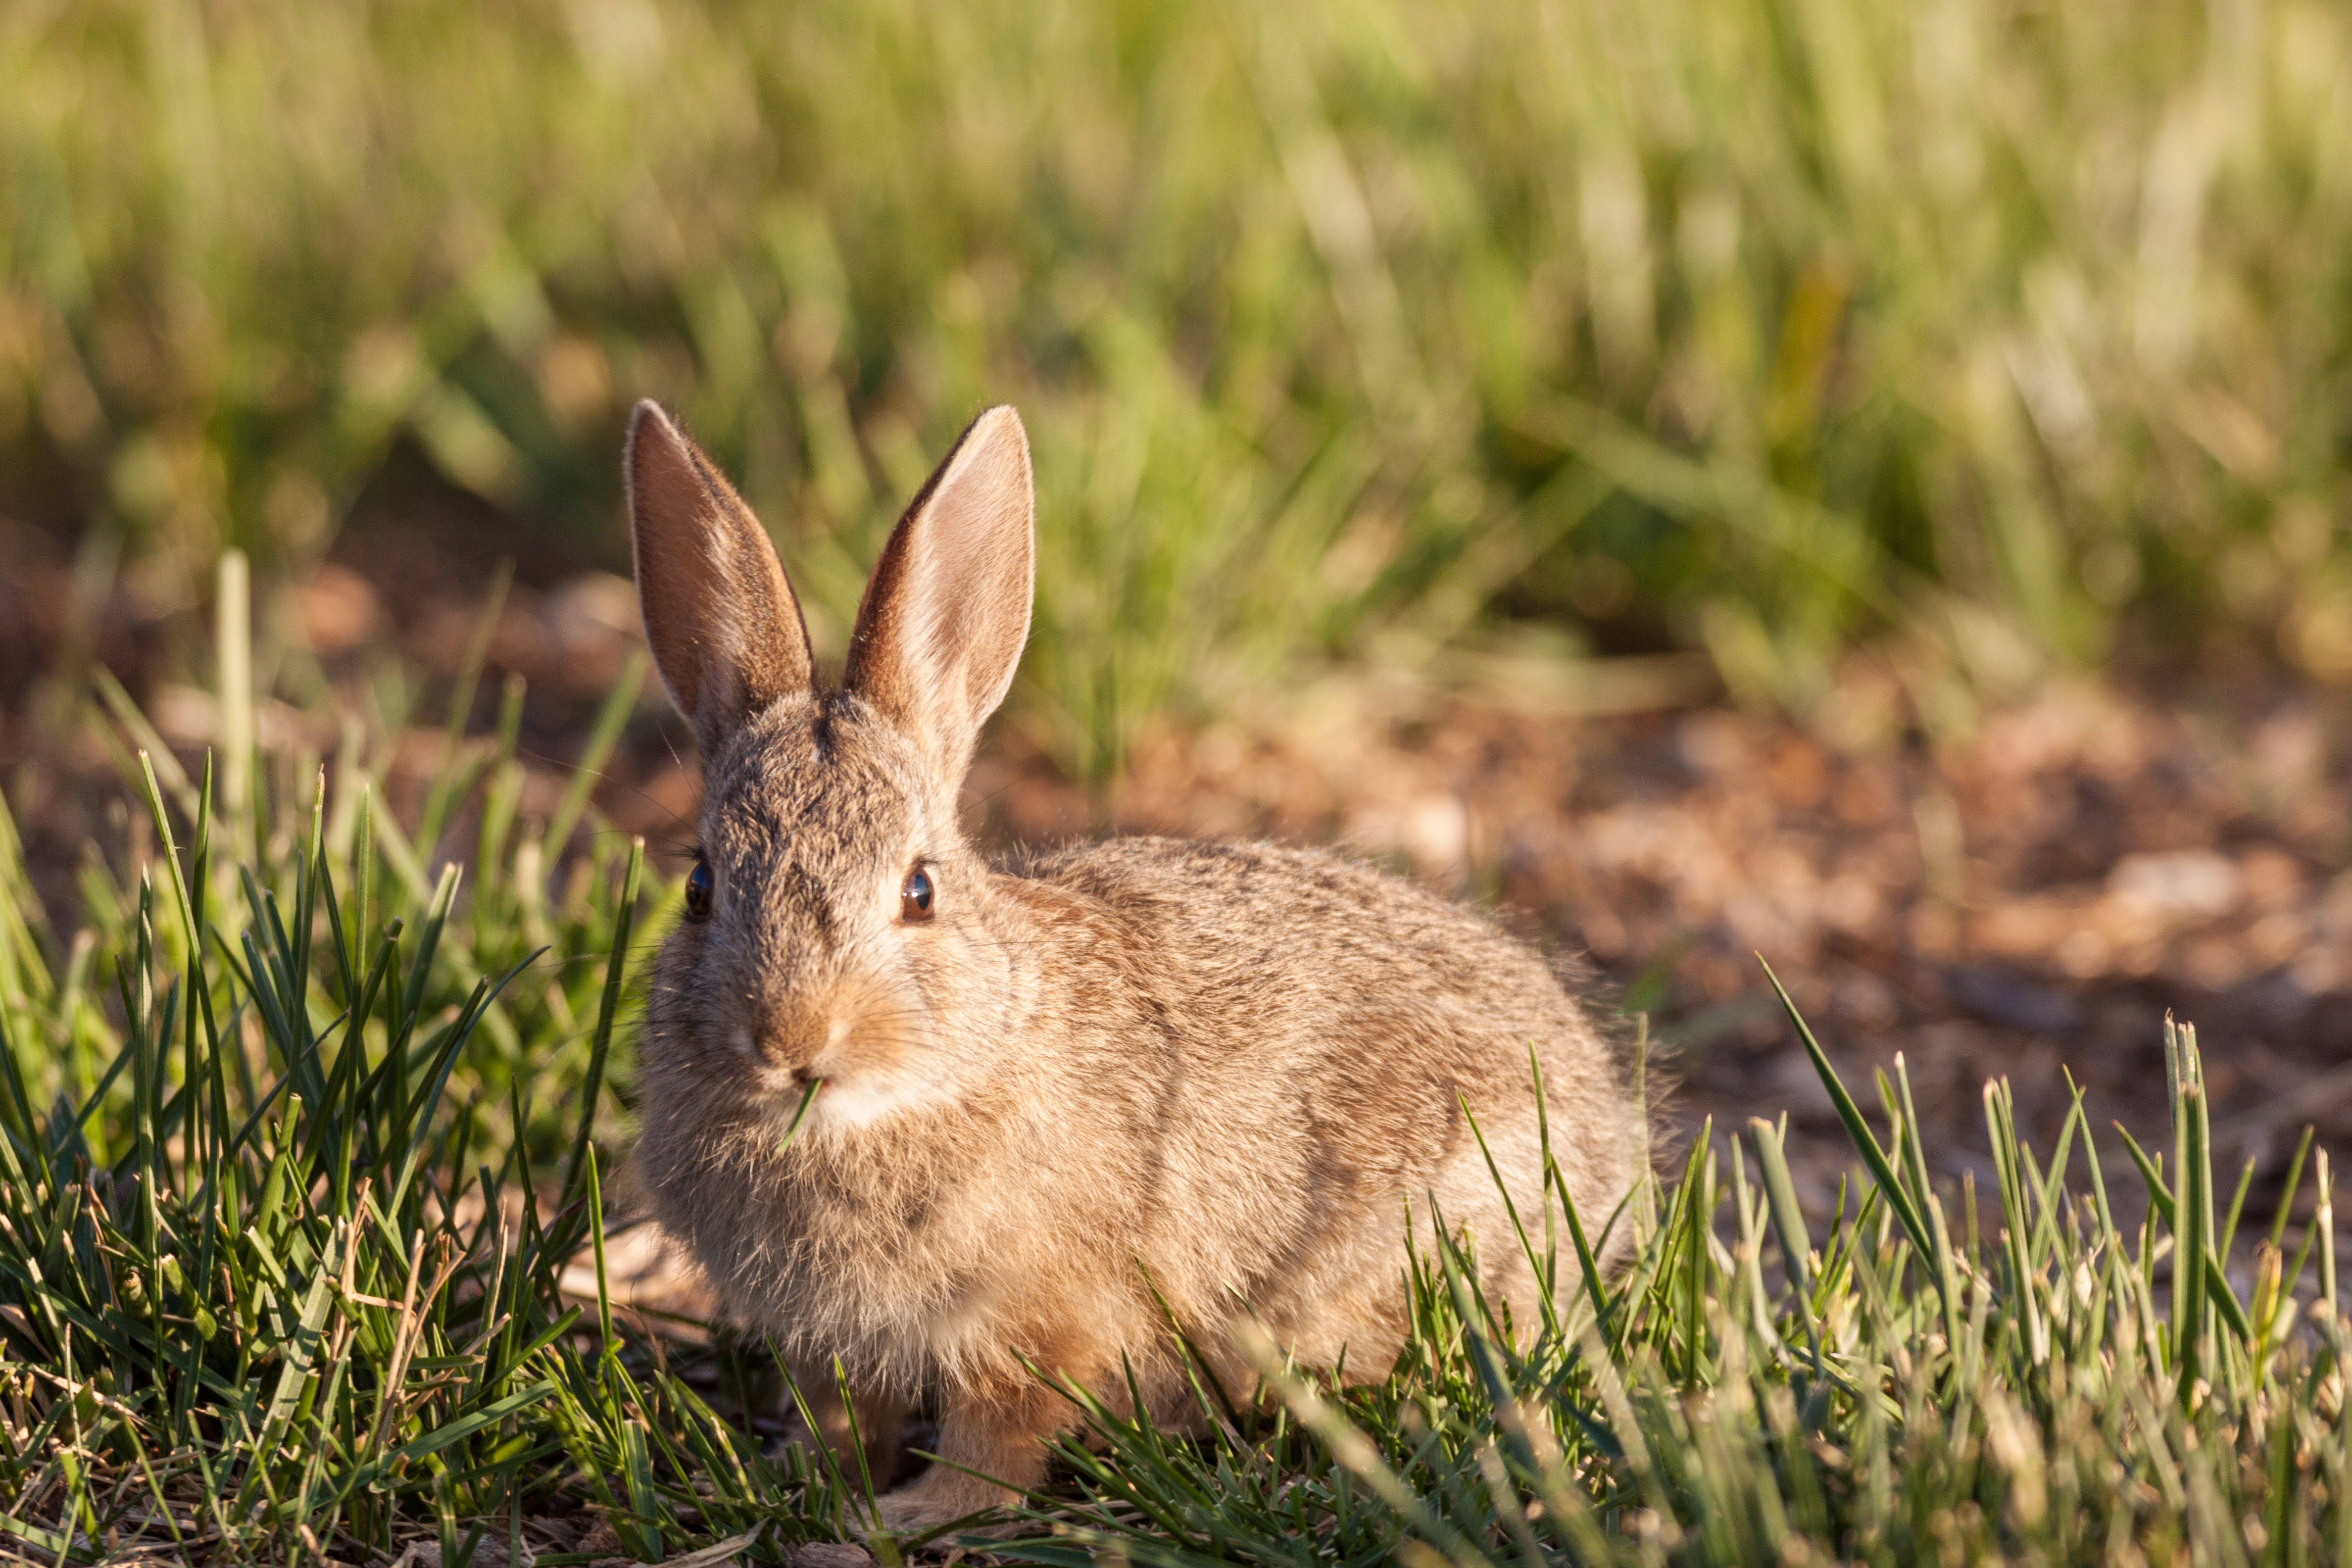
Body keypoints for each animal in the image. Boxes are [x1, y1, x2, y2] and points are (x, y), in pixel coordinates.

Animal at [626, 399, 1656, 1542]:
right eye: (700, 887)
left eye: (919, 891)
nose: (795, 1041)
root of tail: (1610, 1143)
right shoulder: (834, 1342)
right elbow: (848, 1416)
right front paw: (802, 1480)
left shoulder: (1037, 1322)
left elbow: (997, 1439)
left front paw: (910, 1517)